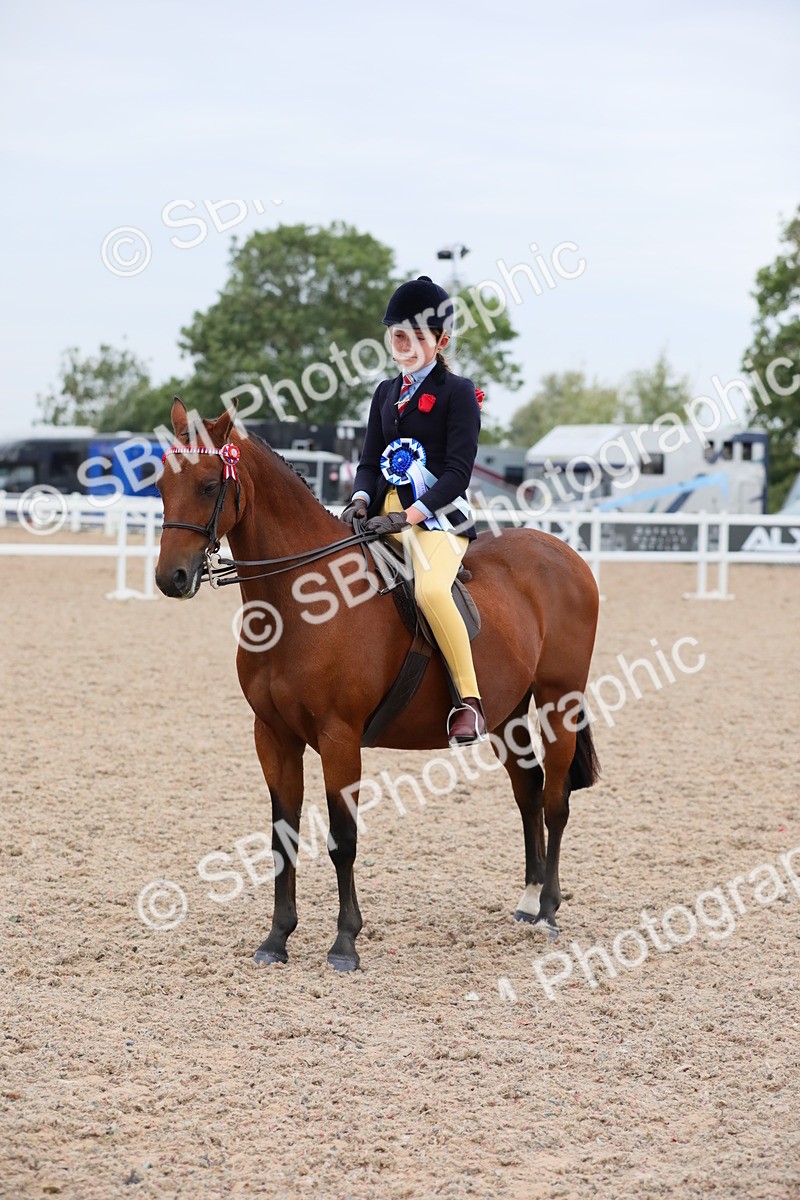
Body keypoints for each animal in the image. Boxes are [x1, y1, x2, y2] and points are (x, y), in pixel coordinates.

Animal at [155, 398, 601, 972]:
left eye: (210, 485)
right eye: (161, 484)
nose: (171, 578)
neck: (300, 599)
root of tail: (565, 554)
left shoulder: (339, 737)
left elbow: (342, 838)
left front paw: (345, 943)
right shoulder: (273, 736)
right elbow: (282, 838)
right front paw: (276, 939)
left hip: (558, 700)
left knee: (555, 800)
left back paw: (548, 910)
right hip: (507, 715)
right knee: (528, 793)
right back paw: (526, 903)